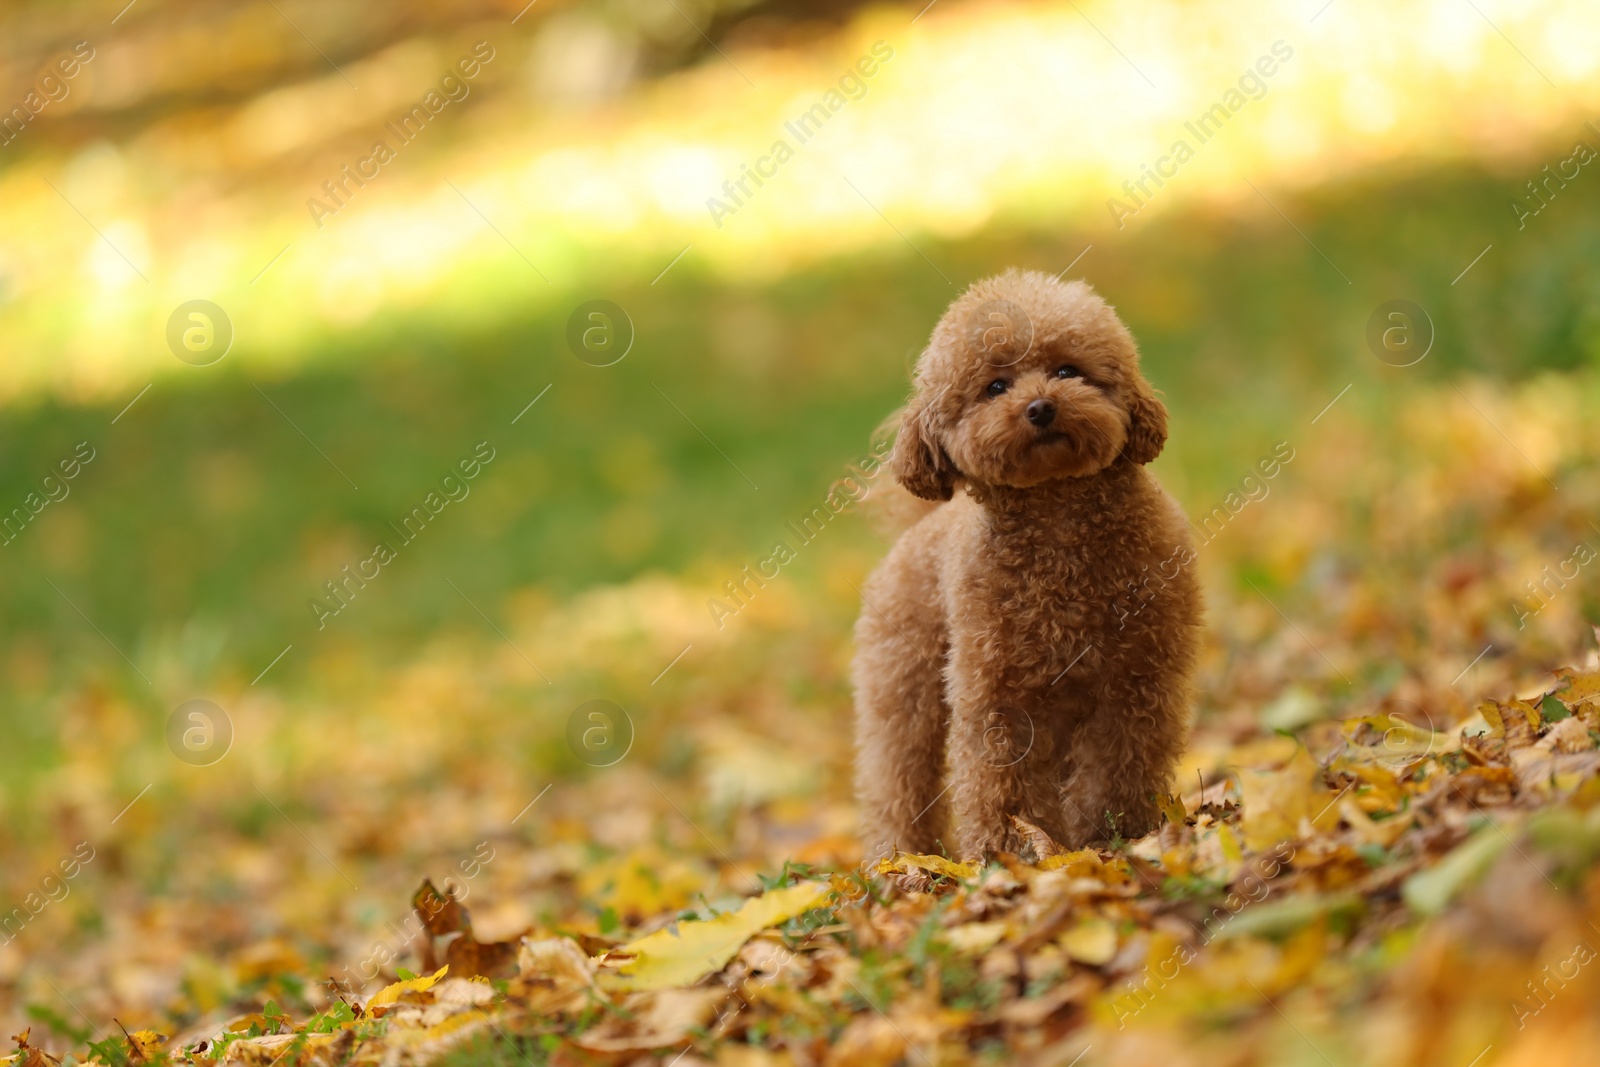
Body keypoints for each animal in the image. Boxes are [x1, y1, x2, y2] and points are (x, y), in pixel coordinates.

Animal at [851, 268, 1203, 870]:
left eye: (1067, 370)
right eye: (995, 387)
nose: (1040, 407)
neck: (1059, 522)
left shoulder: (1136, 681)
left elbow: (1118, 765)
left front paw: (1114, 834)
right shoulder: (1000, 697)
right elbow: (1001, 785)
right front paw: (1012, 852)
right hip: (901, 691)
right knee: (898, 781)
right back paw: (902, 861)